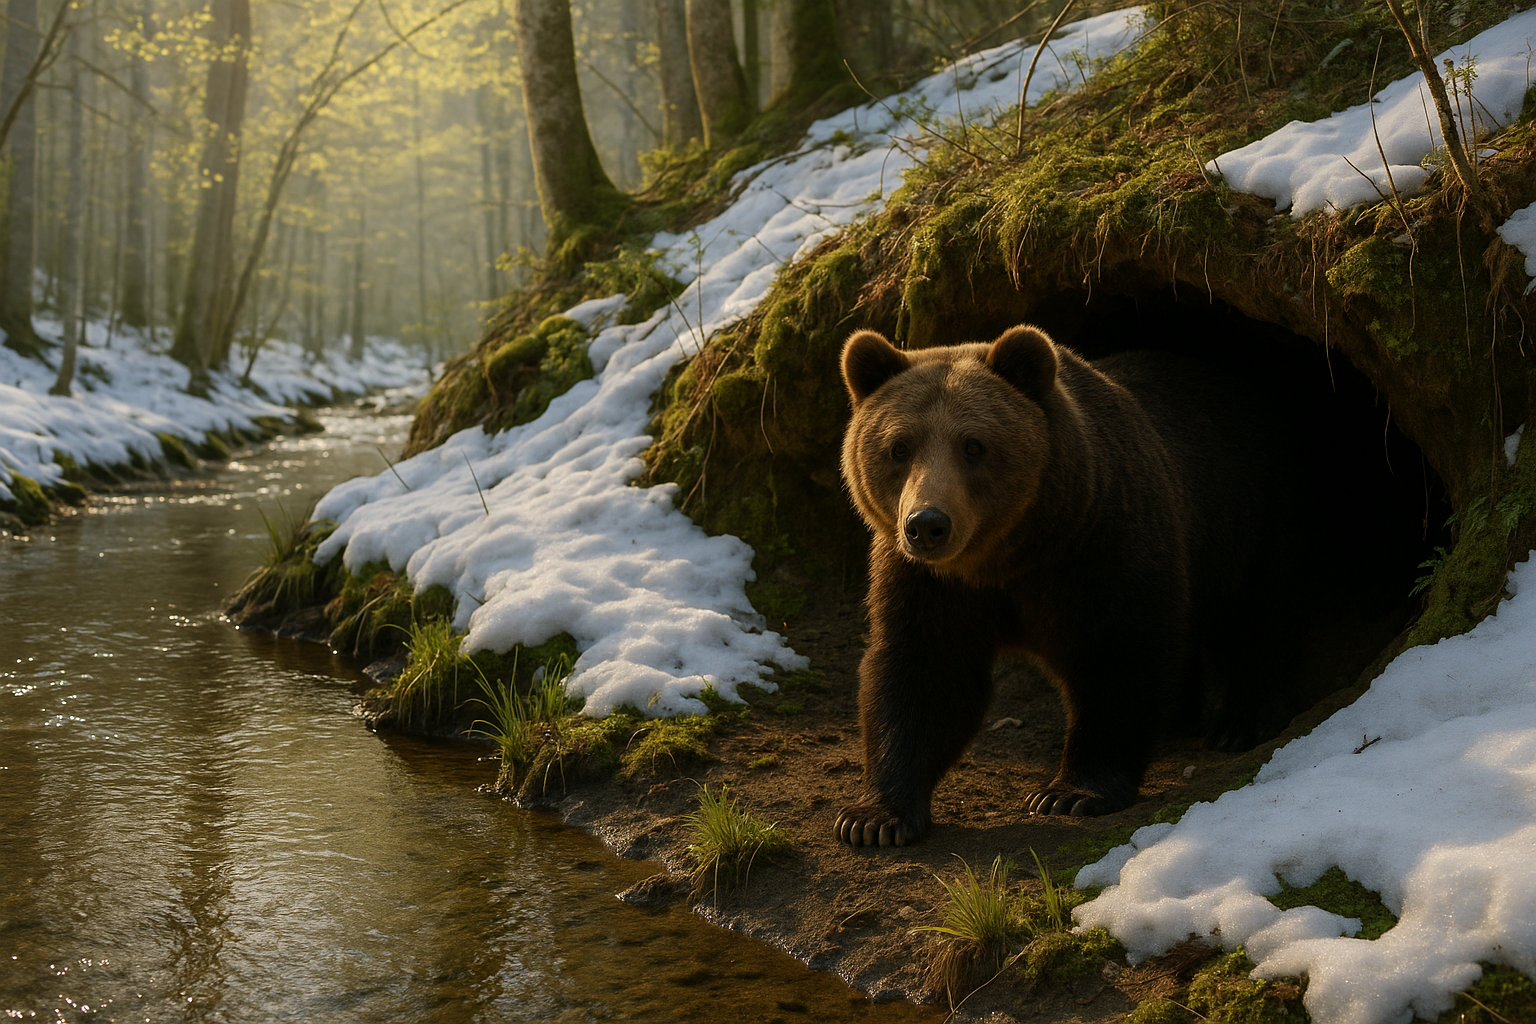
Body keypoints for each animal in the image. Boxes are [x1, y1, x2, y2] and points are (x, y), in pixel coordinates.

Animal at [834, 324, 1315, 847]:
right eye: (899, 447)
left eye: (974, 445)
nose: (927, 524)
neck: (1010, 555)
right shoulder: (930, 585)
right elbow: (922, 673)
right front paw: (873, 818)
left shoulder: (1101, 546)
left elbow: (1120, 654)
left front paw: (1071, 792)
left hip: (1249, 512)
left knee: (1258, 611)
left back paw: (1243, 722)